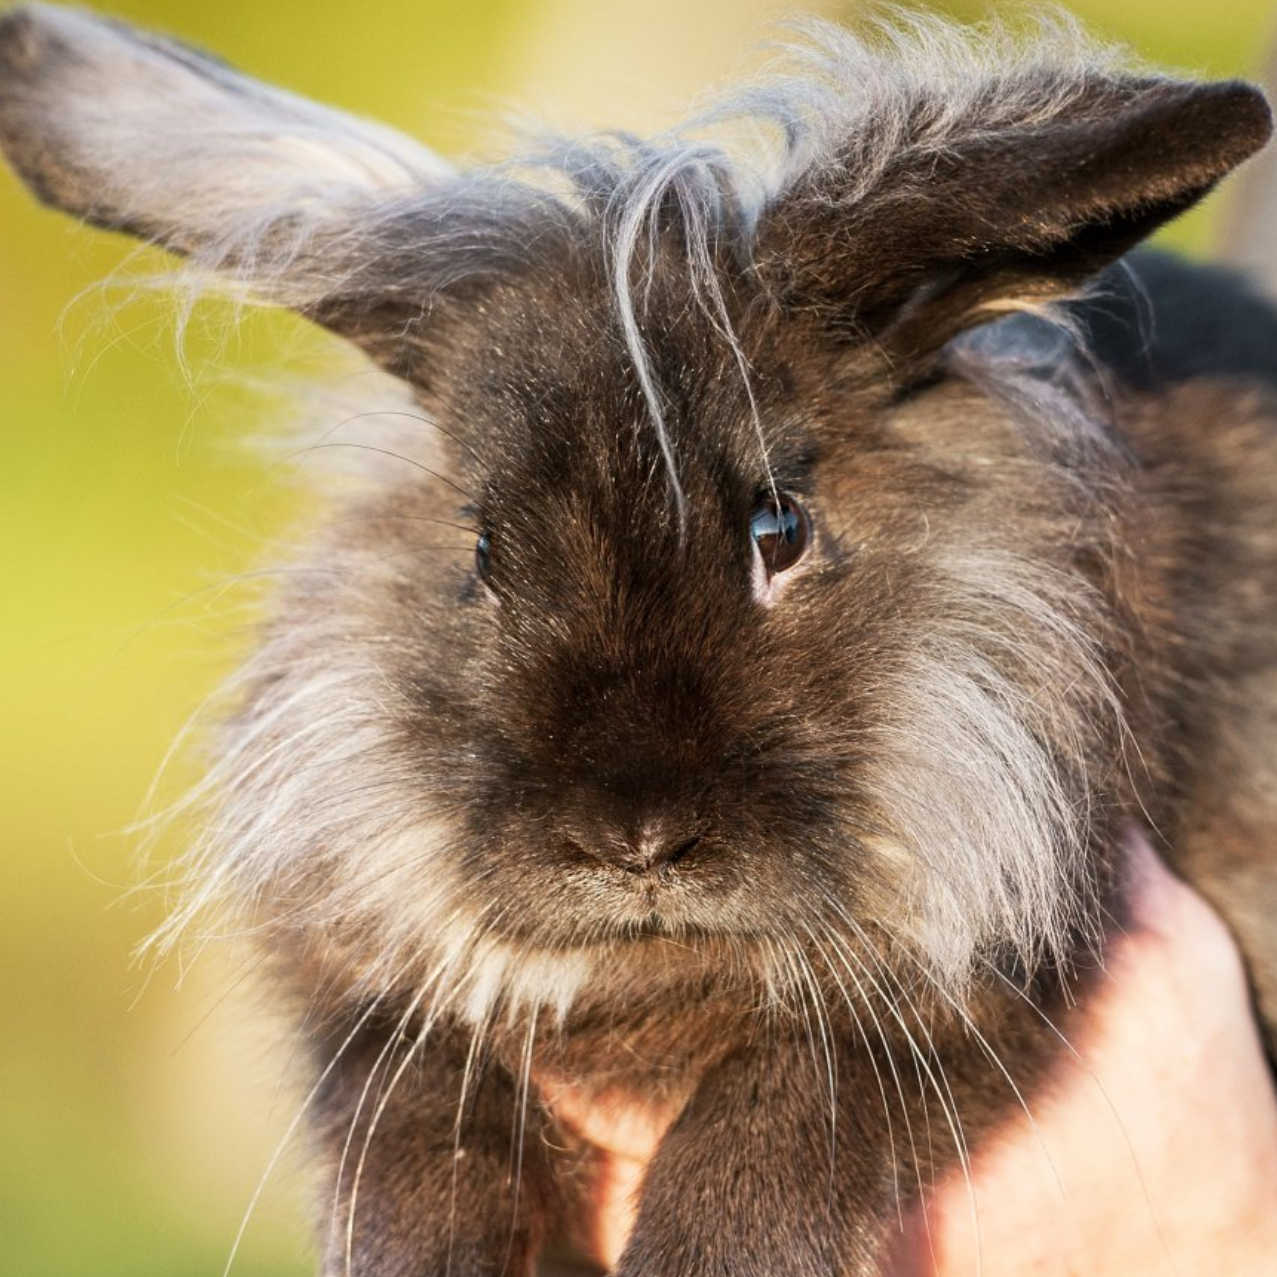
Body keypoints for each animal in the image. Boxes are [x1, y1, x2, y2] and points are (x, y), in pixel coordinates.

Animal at [2, 4, 1276, 1275]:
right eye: (480, 549)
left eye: (779, 528)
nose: (634, 839)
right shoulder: (382, 1009)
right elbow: (418, 1131)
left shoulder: (973, 981)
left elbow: (775, 1114)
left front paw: (703, 1252)